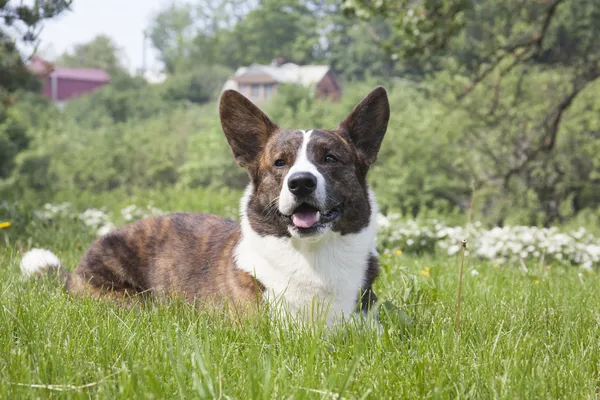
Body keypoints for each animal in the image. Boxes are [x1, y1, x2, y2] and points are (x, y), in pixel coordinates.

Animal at [19, 85, 390, 324]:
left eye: (330, 158)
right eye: (280, 163)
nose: (300, 183)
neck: (313, 256)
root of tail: (73, 274)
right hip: (128, 301)